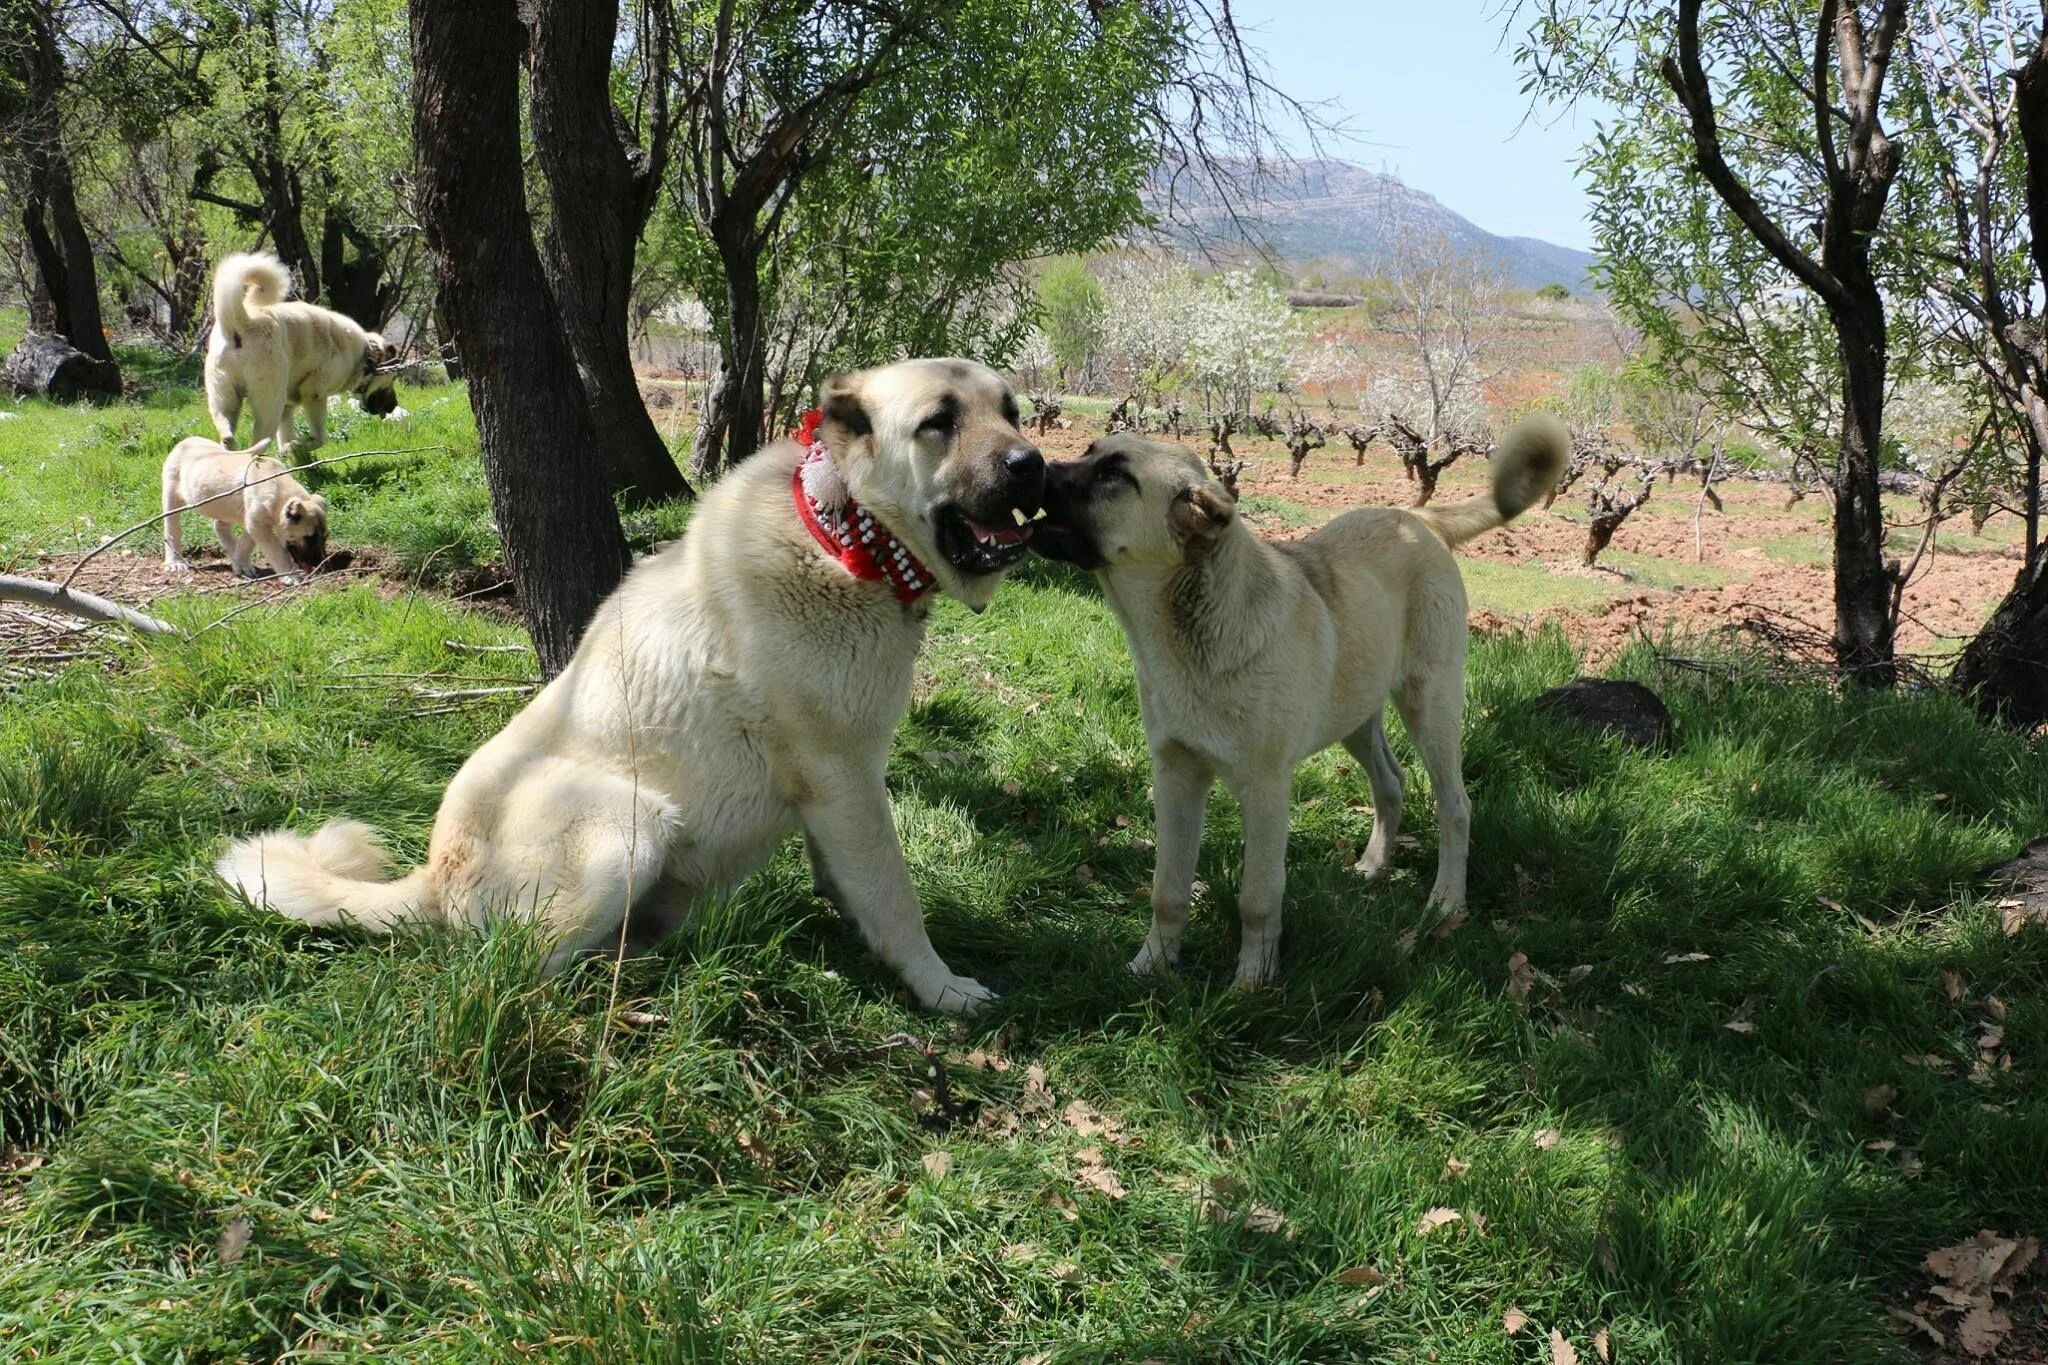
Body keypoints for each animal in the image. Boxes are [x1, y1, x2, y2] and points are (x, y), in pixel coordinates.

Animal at [161, 435, 329, 585]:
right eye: (309, 538)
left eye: (324, 536)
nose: (319, 563)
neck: (278, 486)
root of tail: (186, 441)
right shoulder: (258, 524)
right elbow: (277, 551)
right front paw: (290, 575)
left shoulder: (255, 522)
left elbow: (245, 543)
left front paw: (241, 564)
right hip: (171, 496)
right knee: (172, 530)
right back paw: (174, 563)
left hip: (223, 507)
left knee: (219, 526)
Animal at [203, 250, 399, 454]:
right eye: (393, 379)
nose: (394, 406)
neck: (366, 355)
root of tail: (245, 322)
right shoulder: (314, 395)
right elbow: (319, 438)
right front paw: (298, 446)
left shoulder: (288, 407)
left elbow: (286, 434)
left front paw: (289, 451)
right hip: (269, 404)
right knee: (258, 441)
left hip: (224, 399)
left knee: (227, 433)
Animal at [218, 360, 1048, 1015]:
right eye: (938, 421)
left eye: (1010, 411)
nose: (1033, 464)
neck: (840, 530)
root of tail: (433, 878)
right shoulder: (844, 779)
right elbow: (893, 895)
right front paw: (940, 987)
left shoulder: (836, 795)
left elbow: (848, 884)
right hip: (631, 825)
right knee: (523, 973)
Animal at [1032, 411, 1572, 986]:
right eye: (1089, 451)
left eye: (1115, 475)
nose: (1031, 465)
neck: (1189, 631)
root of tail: (1417, 517)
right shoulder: (1176, 776)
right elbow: (1167, 889)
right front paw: (1152, 964)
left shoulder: (1266, 788)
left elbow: (1258, 896)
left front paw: (1252, 981)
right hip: (1354, 714)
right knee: (1391, 780)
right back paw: (1374, 865)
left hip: (1430, 704)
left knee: (1455, 804)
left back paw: (1447, 901)